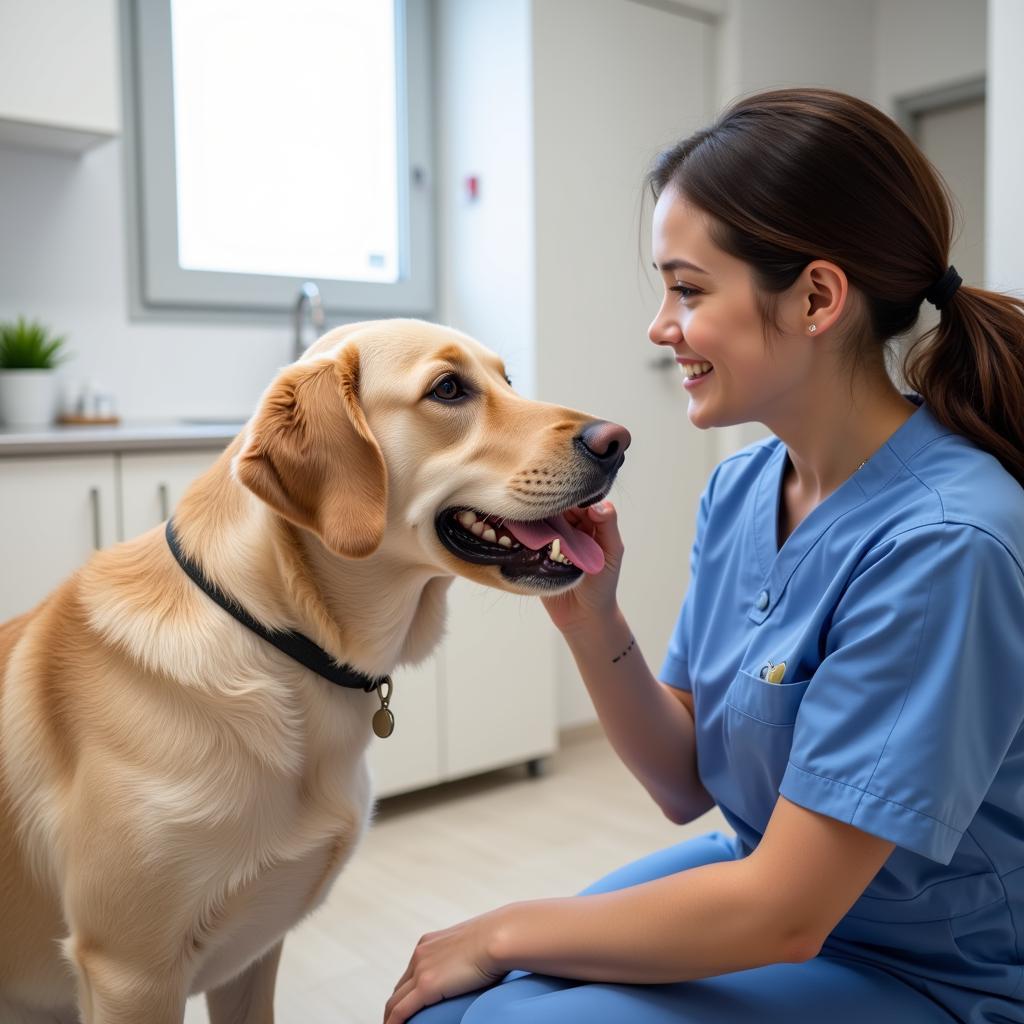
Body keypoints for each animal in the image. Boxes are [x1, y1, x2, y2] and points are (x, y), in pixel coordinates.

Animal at [0, 315, 622, 1019]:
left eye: (508, 380)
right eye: (449, 388)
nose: (618, 441)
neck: (273, 635)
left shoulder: (252, 953)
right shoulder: (129, 972)